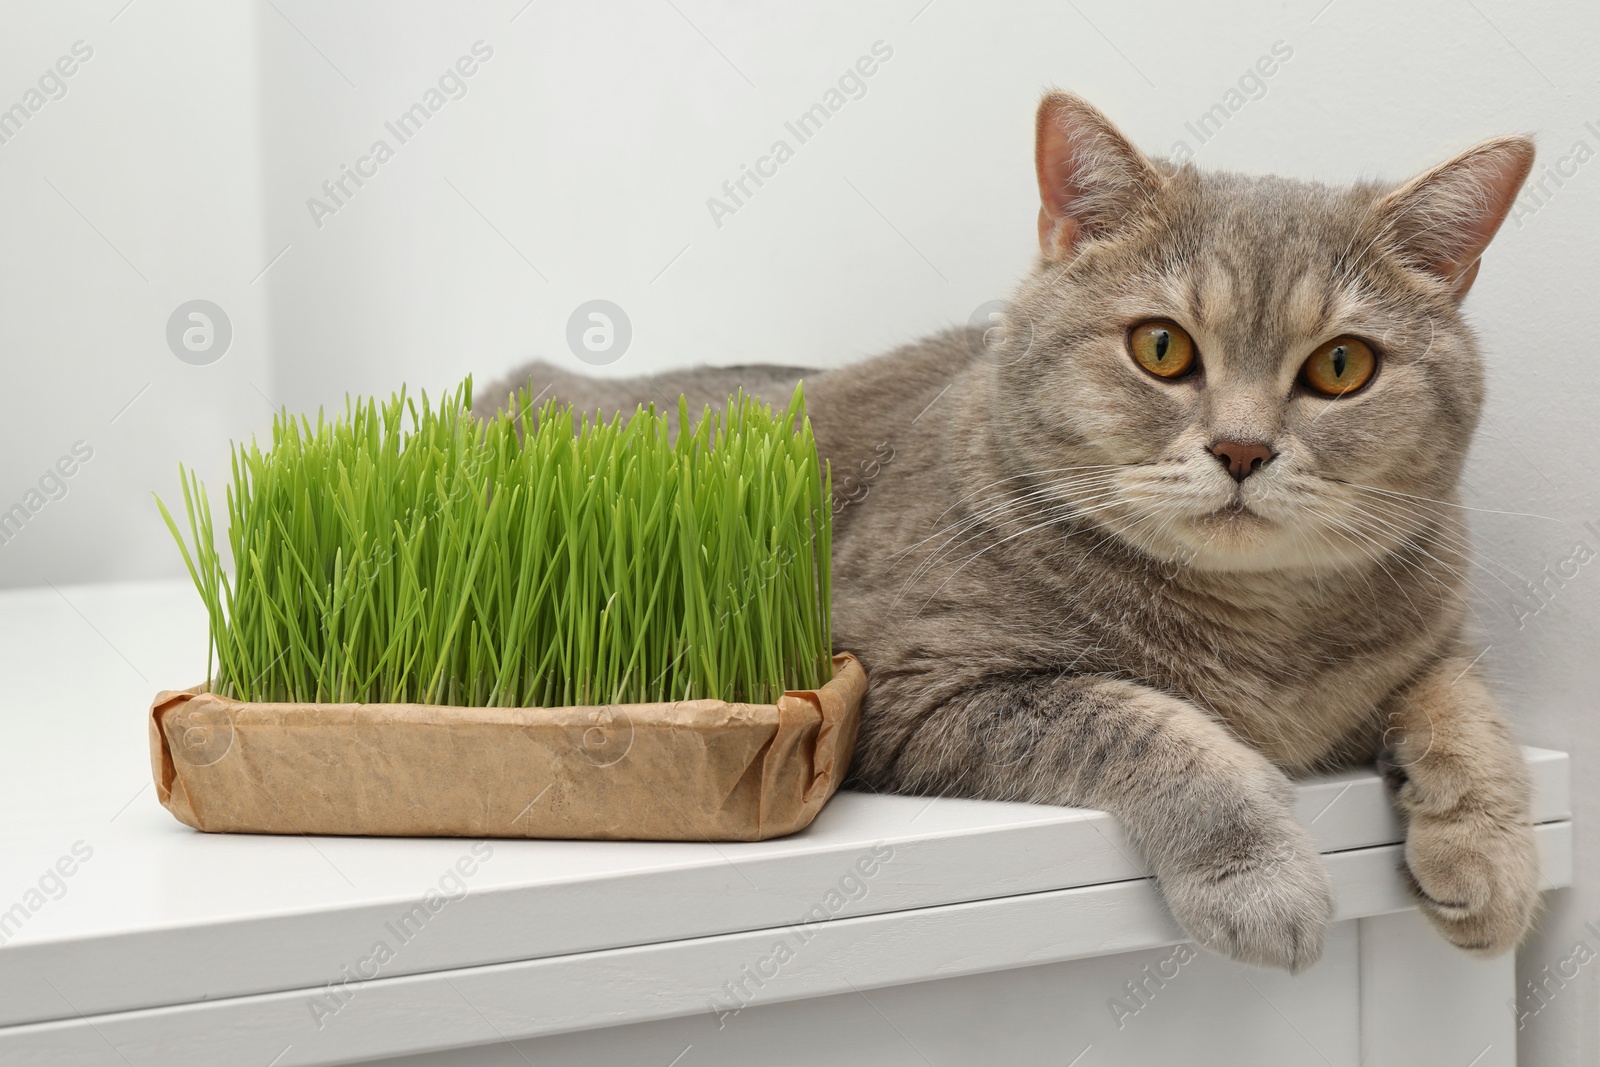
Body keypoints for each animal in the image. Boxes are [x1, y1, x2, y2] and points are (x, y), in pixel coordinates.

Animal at [480, 93, 1542, 979]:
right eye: (1162, 347)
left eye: (1341, 366)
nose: (1242, 448)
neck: (1262, 634)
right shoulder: (918, 683)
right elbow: (1149, 725)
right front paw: (1260, 880)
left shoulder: (1431, 636)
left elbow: (1470, 710)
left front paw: (1488, 857)